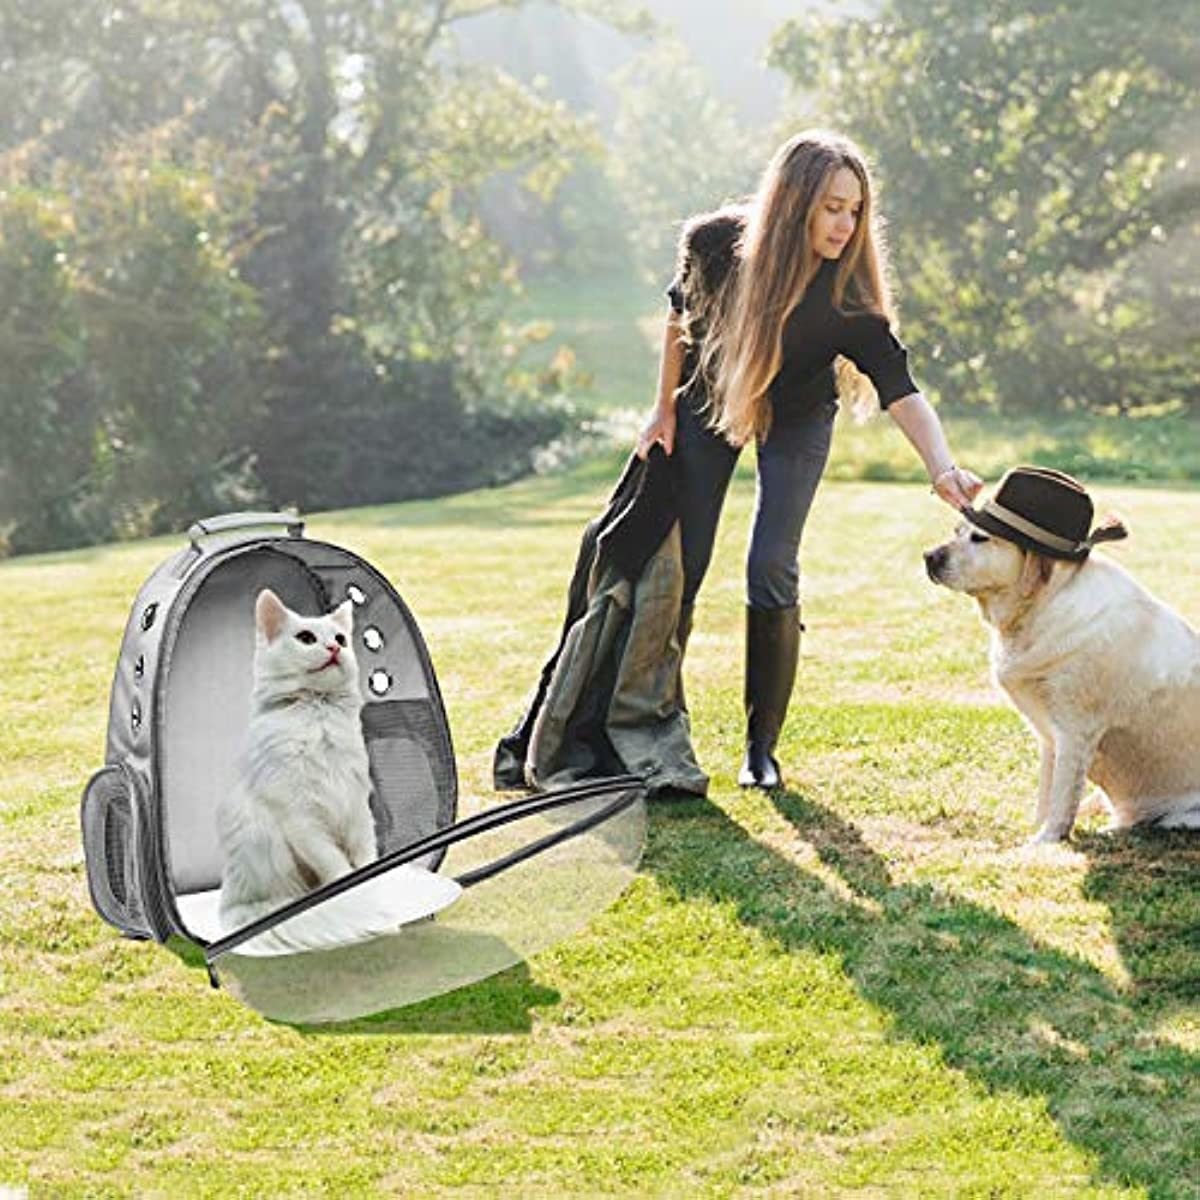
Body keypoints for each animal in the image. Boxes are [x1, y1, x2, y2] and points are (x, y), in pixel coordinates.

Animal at [217, 590, 379, 945]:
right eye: (306, 638)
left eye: (341, 639)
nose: (334, 649)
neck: (317, 714)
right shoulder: (300, 817)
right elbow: (337, 865)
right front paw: (353, 891)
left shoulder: (356, 806)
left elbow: (366, 855)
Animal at [926, 468, 1200, 844]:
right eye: (956, 532)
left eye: (980, 538)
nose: (928, 556)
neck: (1041, 605)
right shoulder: (1048, 735)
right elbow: (1048, 793)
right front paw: (1036, 830)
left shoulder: (1075, 730)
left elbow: (1061, 797)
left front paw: (1043, 842)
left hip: (1182, 816)